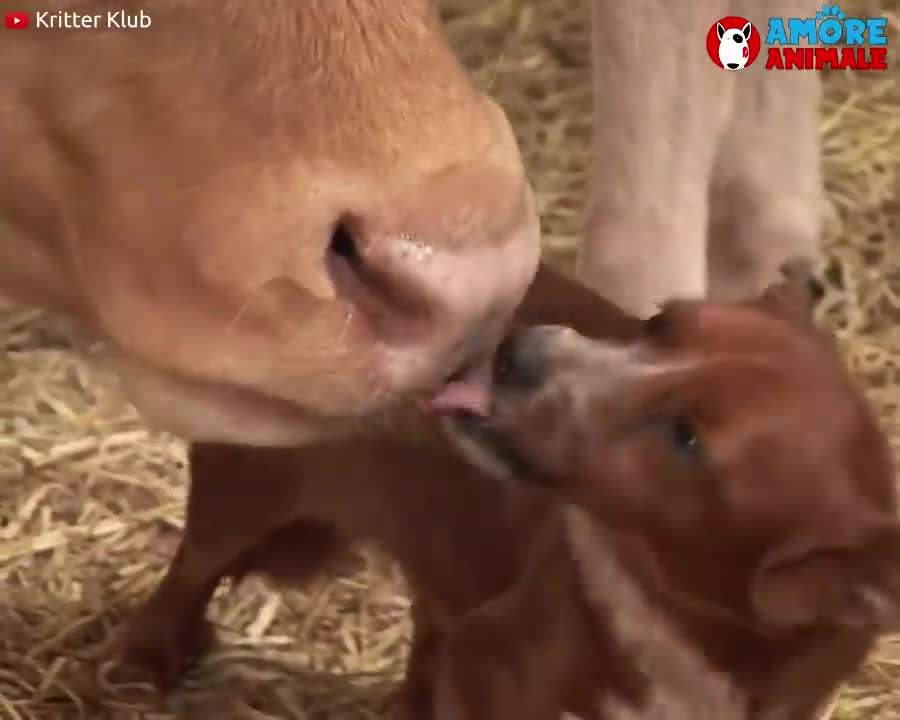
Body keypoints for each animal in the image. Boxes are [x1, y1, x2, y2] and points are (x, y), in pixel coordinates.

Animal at [121, 268, 900, 716]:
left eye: (685, 438)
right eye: (657, 323)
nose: (517, 350)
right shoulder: (487, 662)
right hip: (248, 489)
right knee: (192, 566)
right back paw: (152, 660)